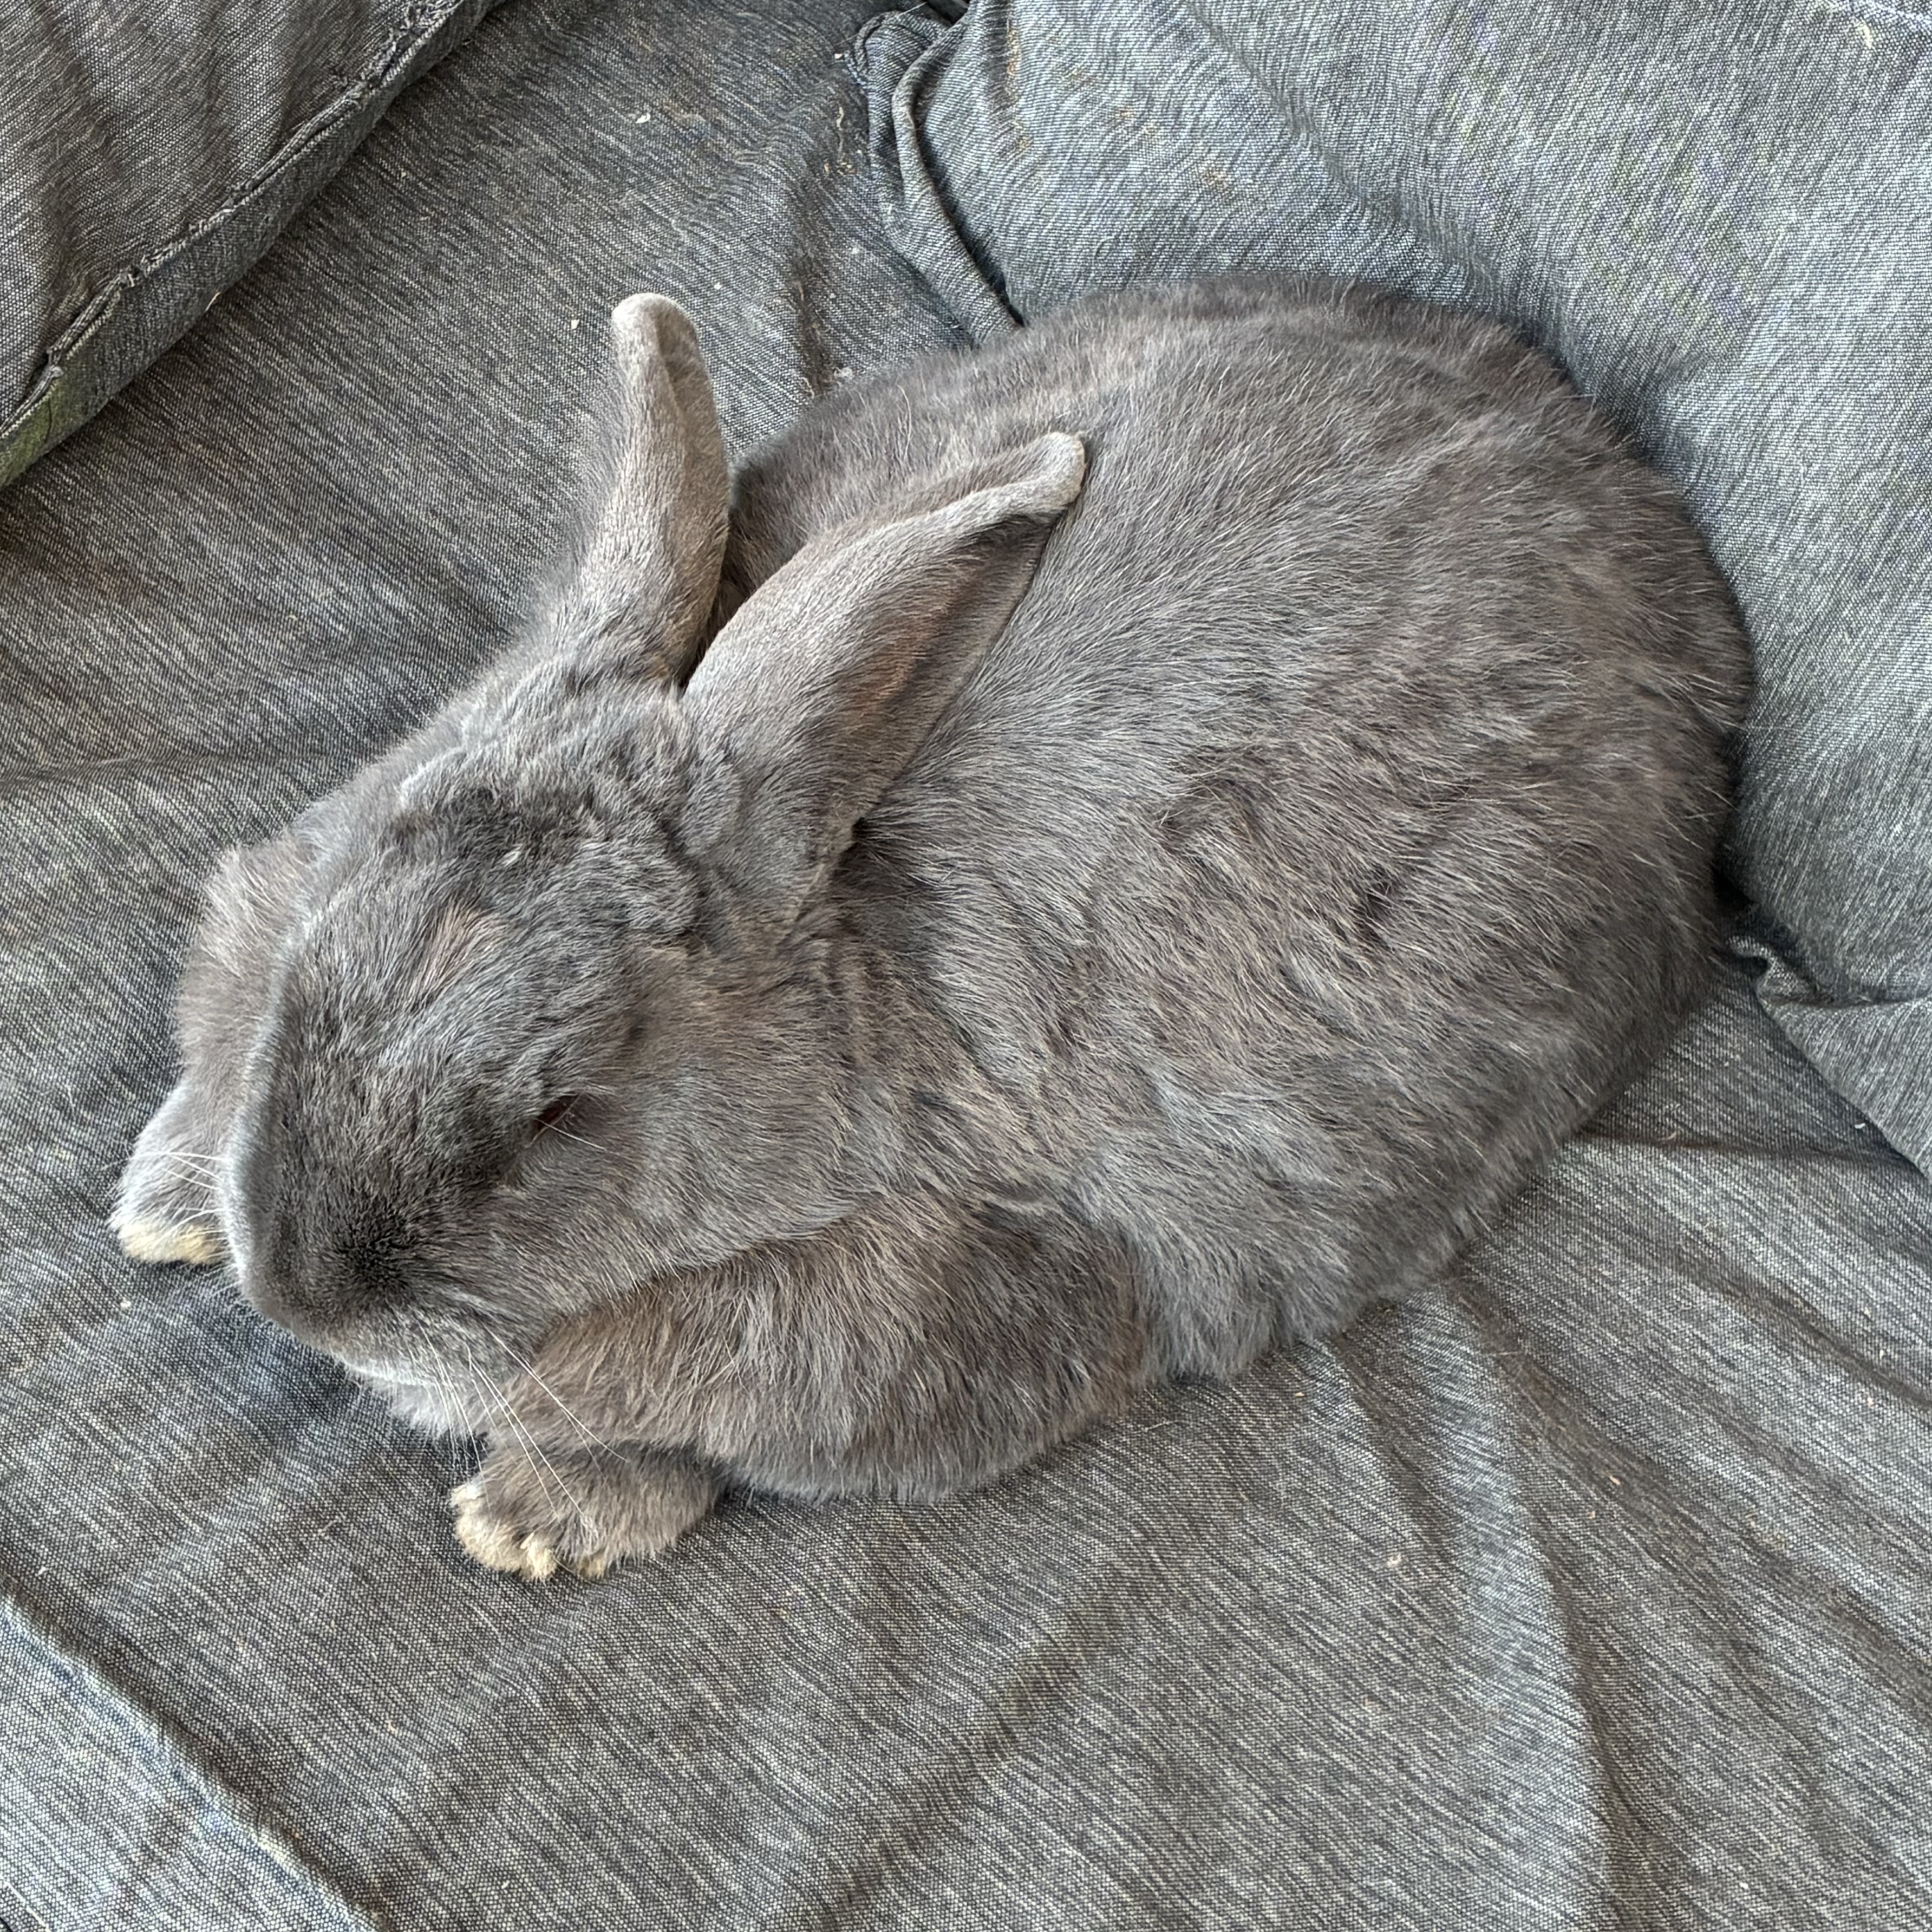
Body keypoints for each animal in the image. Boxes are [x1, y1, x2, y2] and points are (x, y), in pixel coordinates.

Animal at [114, 280, 1752, 1579]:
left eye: (560, 1111)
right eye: (315, 949)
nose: (301, 1290)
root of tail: (1639, 511)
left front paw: (531, 1520)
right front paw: (169, 1202)